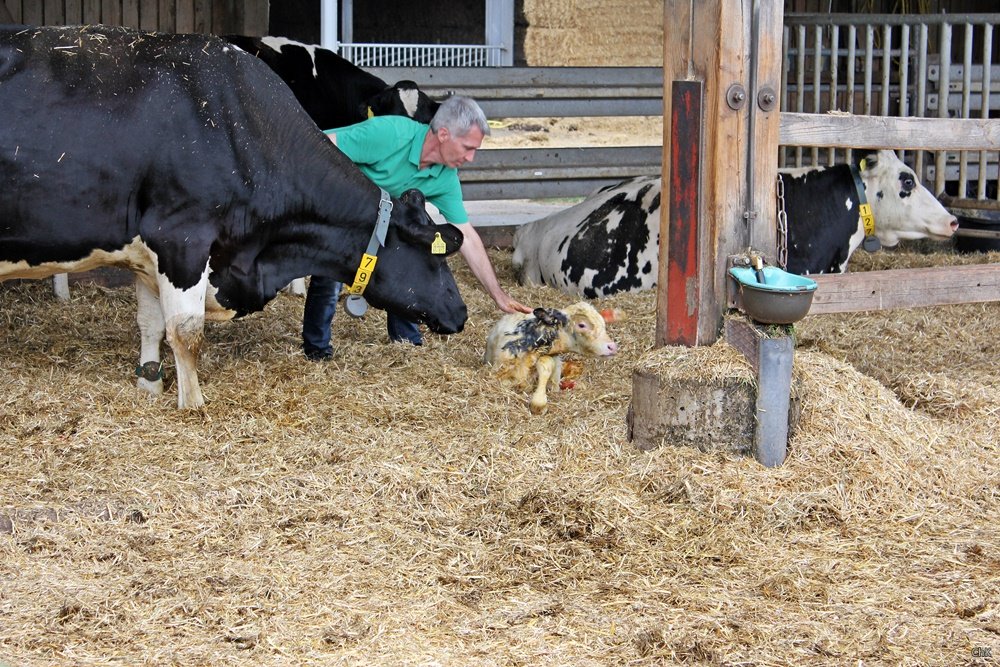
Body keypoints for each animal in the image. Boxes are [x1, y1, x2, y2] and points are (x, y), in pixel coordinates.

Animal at [0, 24, 468, 408]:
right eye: (434, 256)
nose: (462, 312)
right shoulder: (180, 239)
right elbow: (185, 331)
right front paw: (193, 405)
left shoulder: (146, 253)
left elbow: (150, 323)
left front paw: (149, 385)